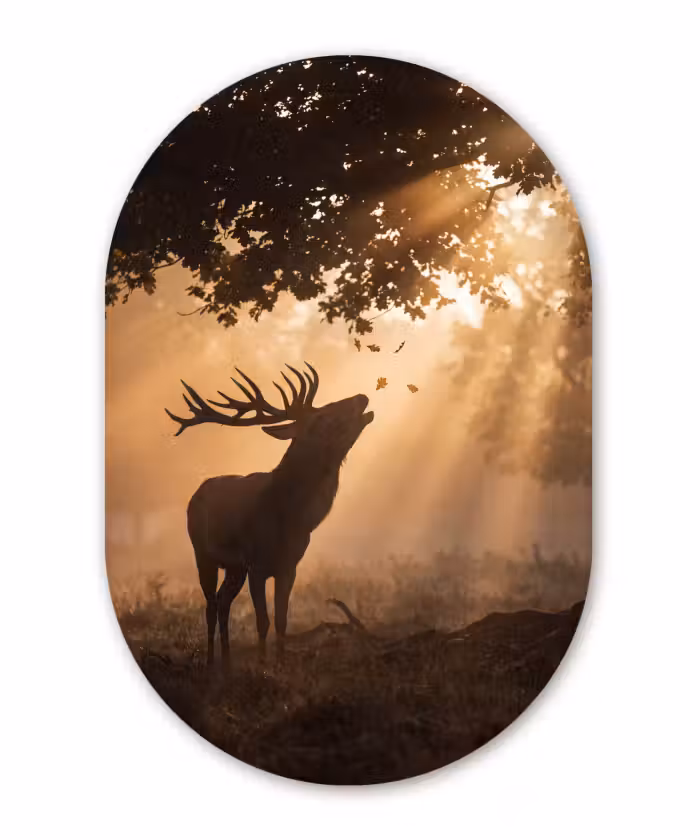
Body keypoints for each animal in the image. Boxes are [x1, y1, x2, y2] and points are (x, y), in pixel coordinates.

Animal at [165, 363, 374, 666]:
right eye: (323, 416)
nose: (361, 397)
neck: (290, 517)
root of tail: (196, 493)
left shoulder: (289, 566)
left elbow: (282, 621)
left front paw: (281, 663)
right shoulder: (257, 565)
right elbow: (262, 621)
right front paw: (263, 666)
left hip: (234, 568)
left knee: (223, 602)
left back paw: (227, 661)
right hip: (202, 554)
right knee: (211, 605)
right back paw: (212, 662)